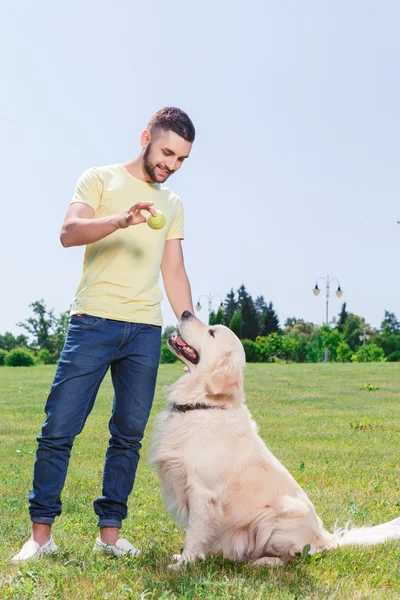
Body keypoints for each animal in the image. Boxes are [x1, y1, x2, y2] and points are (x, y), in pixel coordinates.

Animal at [150, 312, 400, 568]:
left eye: (211, 332)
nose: (185, 313)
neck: (204, 403)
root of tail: (327, 538)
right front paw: (183, 558)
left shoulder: (202, 492)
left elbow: (193, 534)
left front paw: (183, 564)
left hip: (273, 517)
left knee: (295, 556)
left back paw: (262, 562)